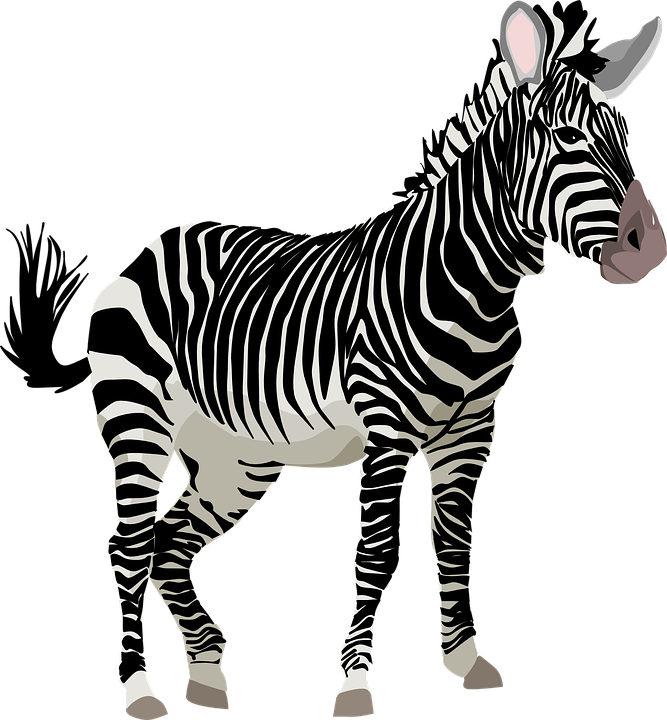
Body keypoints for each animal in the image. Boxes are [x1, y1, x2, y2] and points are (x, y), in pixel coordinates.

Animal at [85, 2, 665, 718]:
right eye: (563, 137)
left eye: (629, 141)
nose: (650, 248)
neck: (474, 289)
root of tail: (156, 242)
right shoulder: (387, 432)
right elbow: (378, 553)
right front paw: (356, 685)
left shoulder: (471, 434)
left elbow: (454, 543)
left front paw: (466, 659)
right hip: (138, 424)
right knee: (127, 547)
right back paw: (141, 688)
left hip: (239, 459)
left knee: (170, 546)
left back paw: (207, 671)